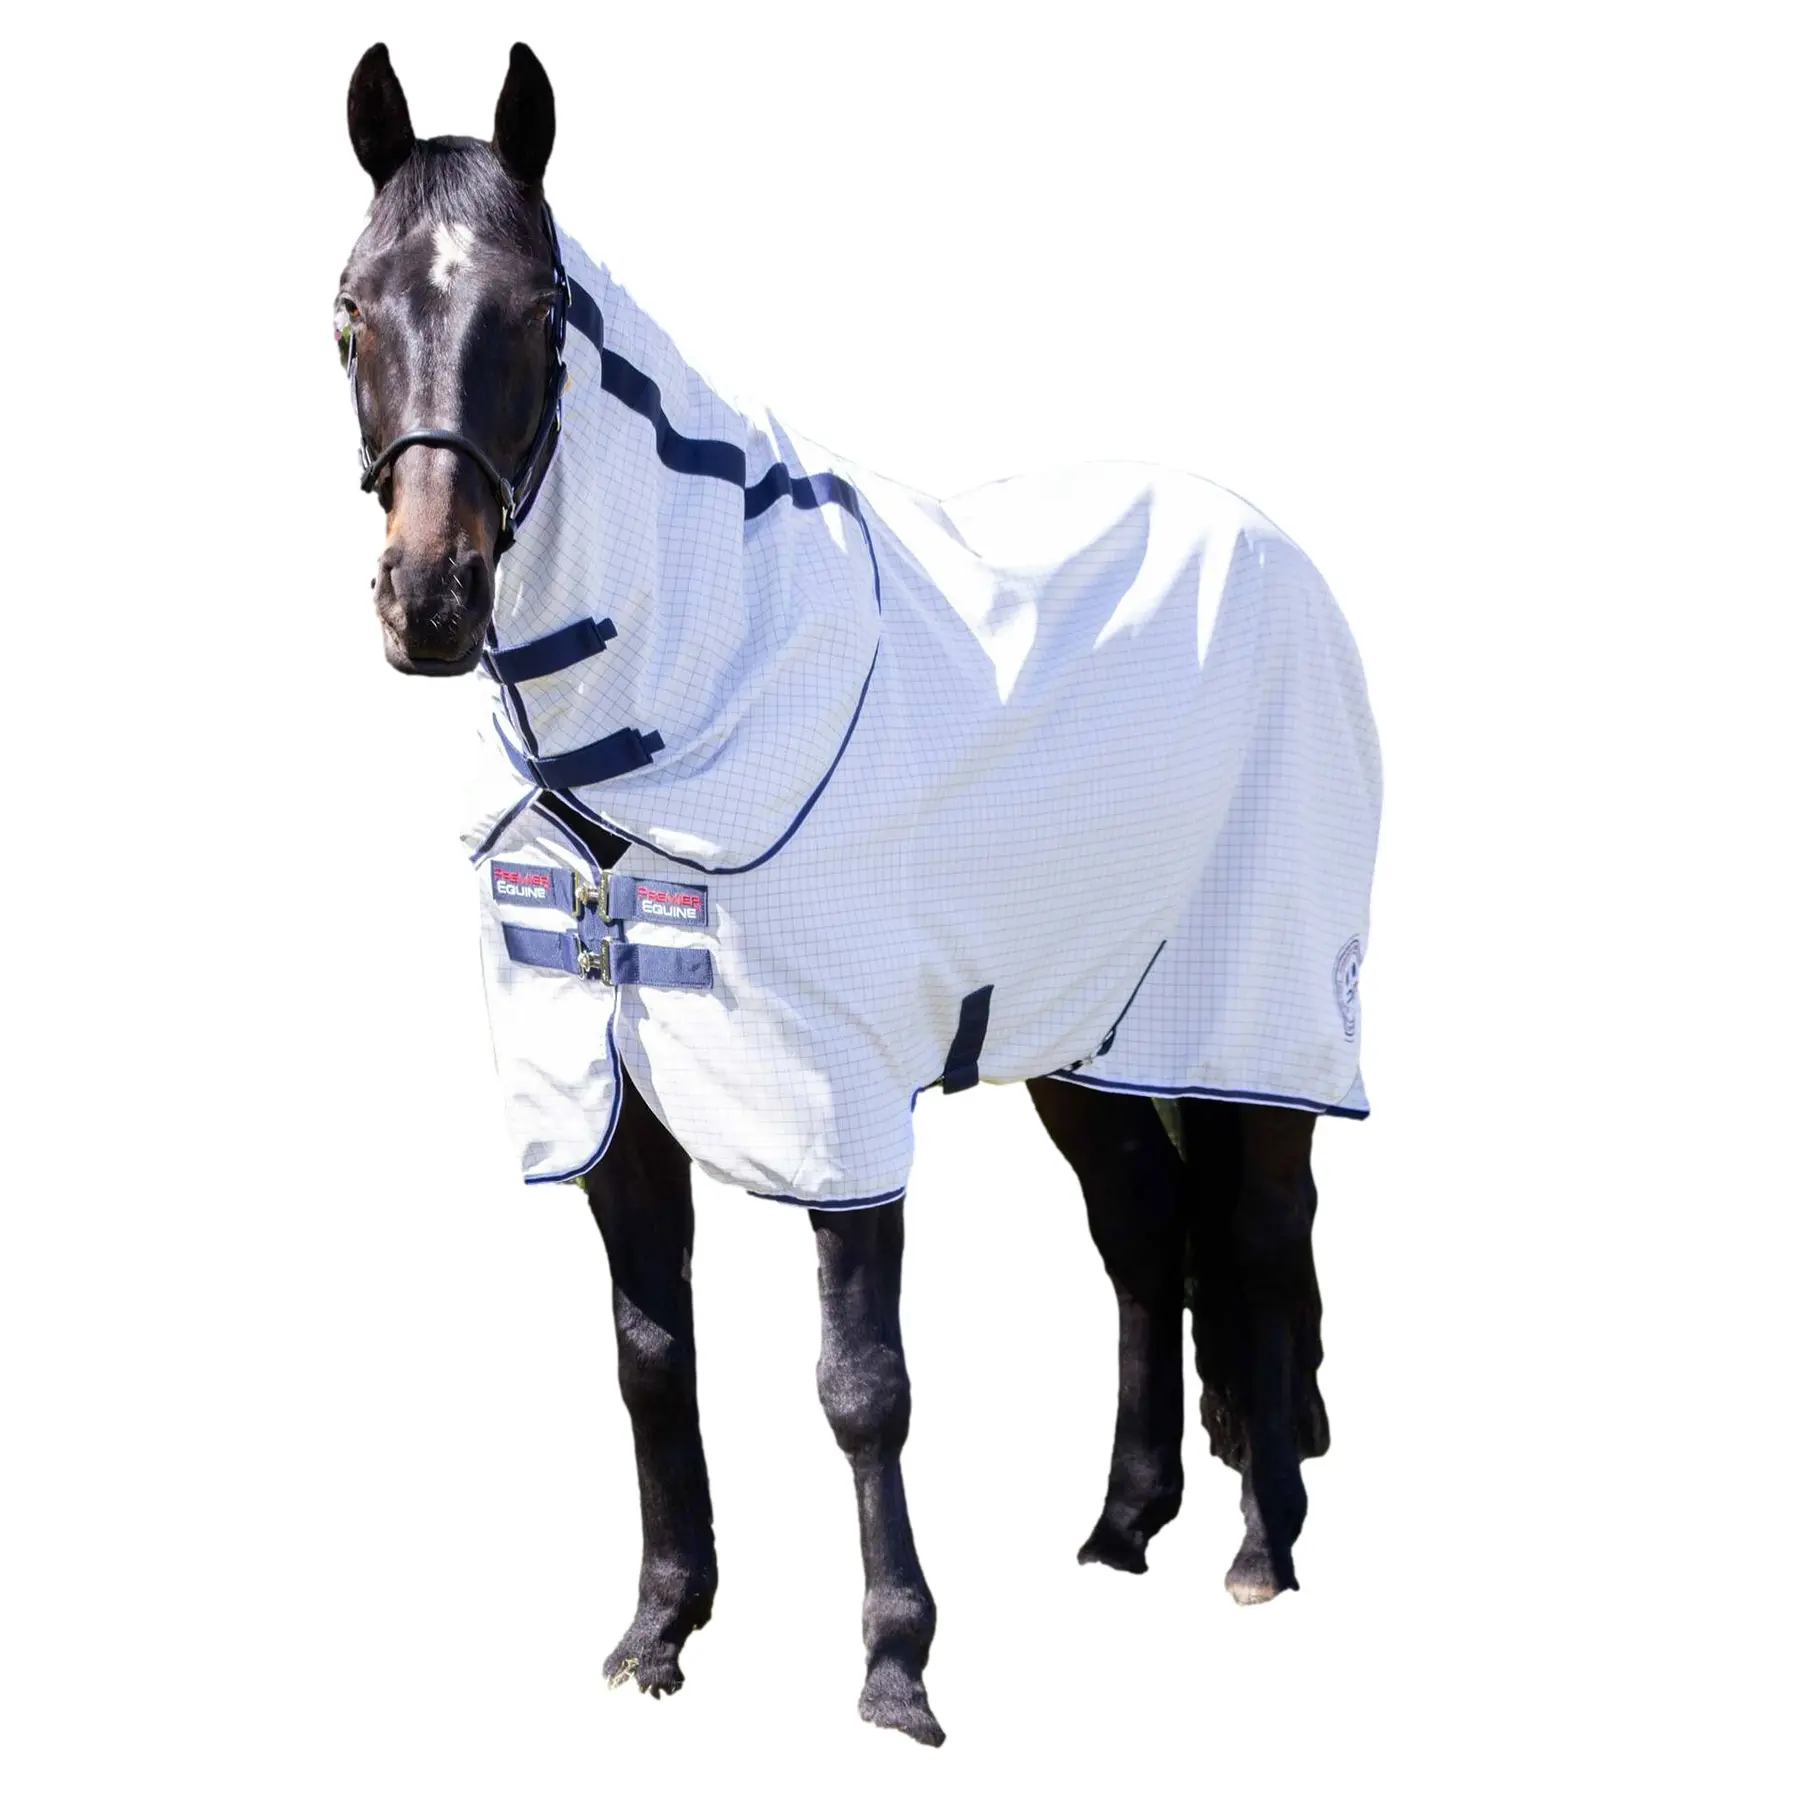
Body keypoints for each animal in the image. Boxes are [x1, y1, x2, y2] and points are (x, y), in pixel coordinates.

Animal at [333, 41, 1379, 1746]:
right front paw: (659, 1632)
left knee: (1263, 1227)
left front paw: (896, 1670)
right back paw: (1122, 1526)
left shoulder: (833, 1107)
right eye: (352, 308)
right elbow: (650, 1361)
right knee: (1146, 1235)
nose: (430, 601)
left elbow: (860, 1387)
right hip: (1079, 1030)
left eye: (539, 312)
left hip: (1260, 1008)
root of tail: (1275, 547)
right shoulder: (613, 1106)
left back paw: (1261, 1549)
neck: (692, 697)